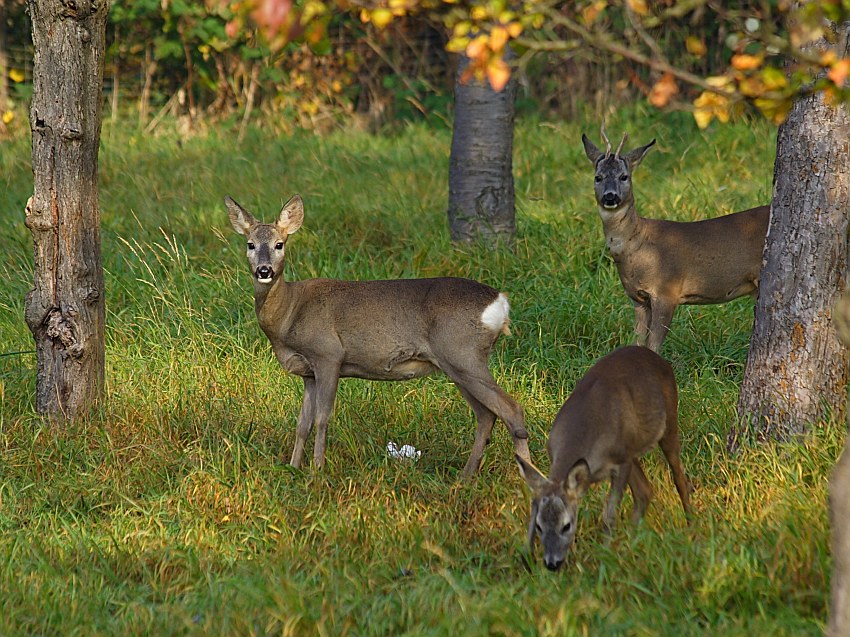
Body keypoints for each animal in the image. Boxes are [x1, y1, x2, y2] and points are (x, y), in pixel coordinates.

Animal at [225, 194, 528, 476]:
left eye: (280, 244)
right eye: (250, 244)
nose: (264, 270)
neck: (289, 312)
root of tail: (501, 302)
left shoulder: (328, 354)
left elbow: (323, 418)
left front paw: (317, 470)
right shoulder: (307, 372)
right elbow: (302, 423)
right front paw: (293, 468)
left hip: (463, 354)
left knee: (511, 409)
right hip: (457, 363)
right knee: (486, 415)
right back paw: (466, 477)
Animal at [516, 348, 688, 572]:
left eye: (567, 525)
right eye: (539, 526)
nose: (552, 563)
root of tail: (654, 355)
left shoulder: (621, 463)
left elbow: (609, 516)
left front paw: (604, 559)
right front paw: (526, 558)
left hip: (669, 424)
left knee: (679, 478)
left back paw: (692, 526)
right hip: (633, 450)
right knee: (645, 491)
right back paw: (631, 545)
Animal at [580, 126, 764, 350]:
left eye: (624, 176)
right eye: (598, 177)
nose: (610, 196)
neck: (639, 246)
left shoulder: (667, 291)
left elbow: (653, 346)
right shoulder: (638, 299)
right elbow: (637, 341)